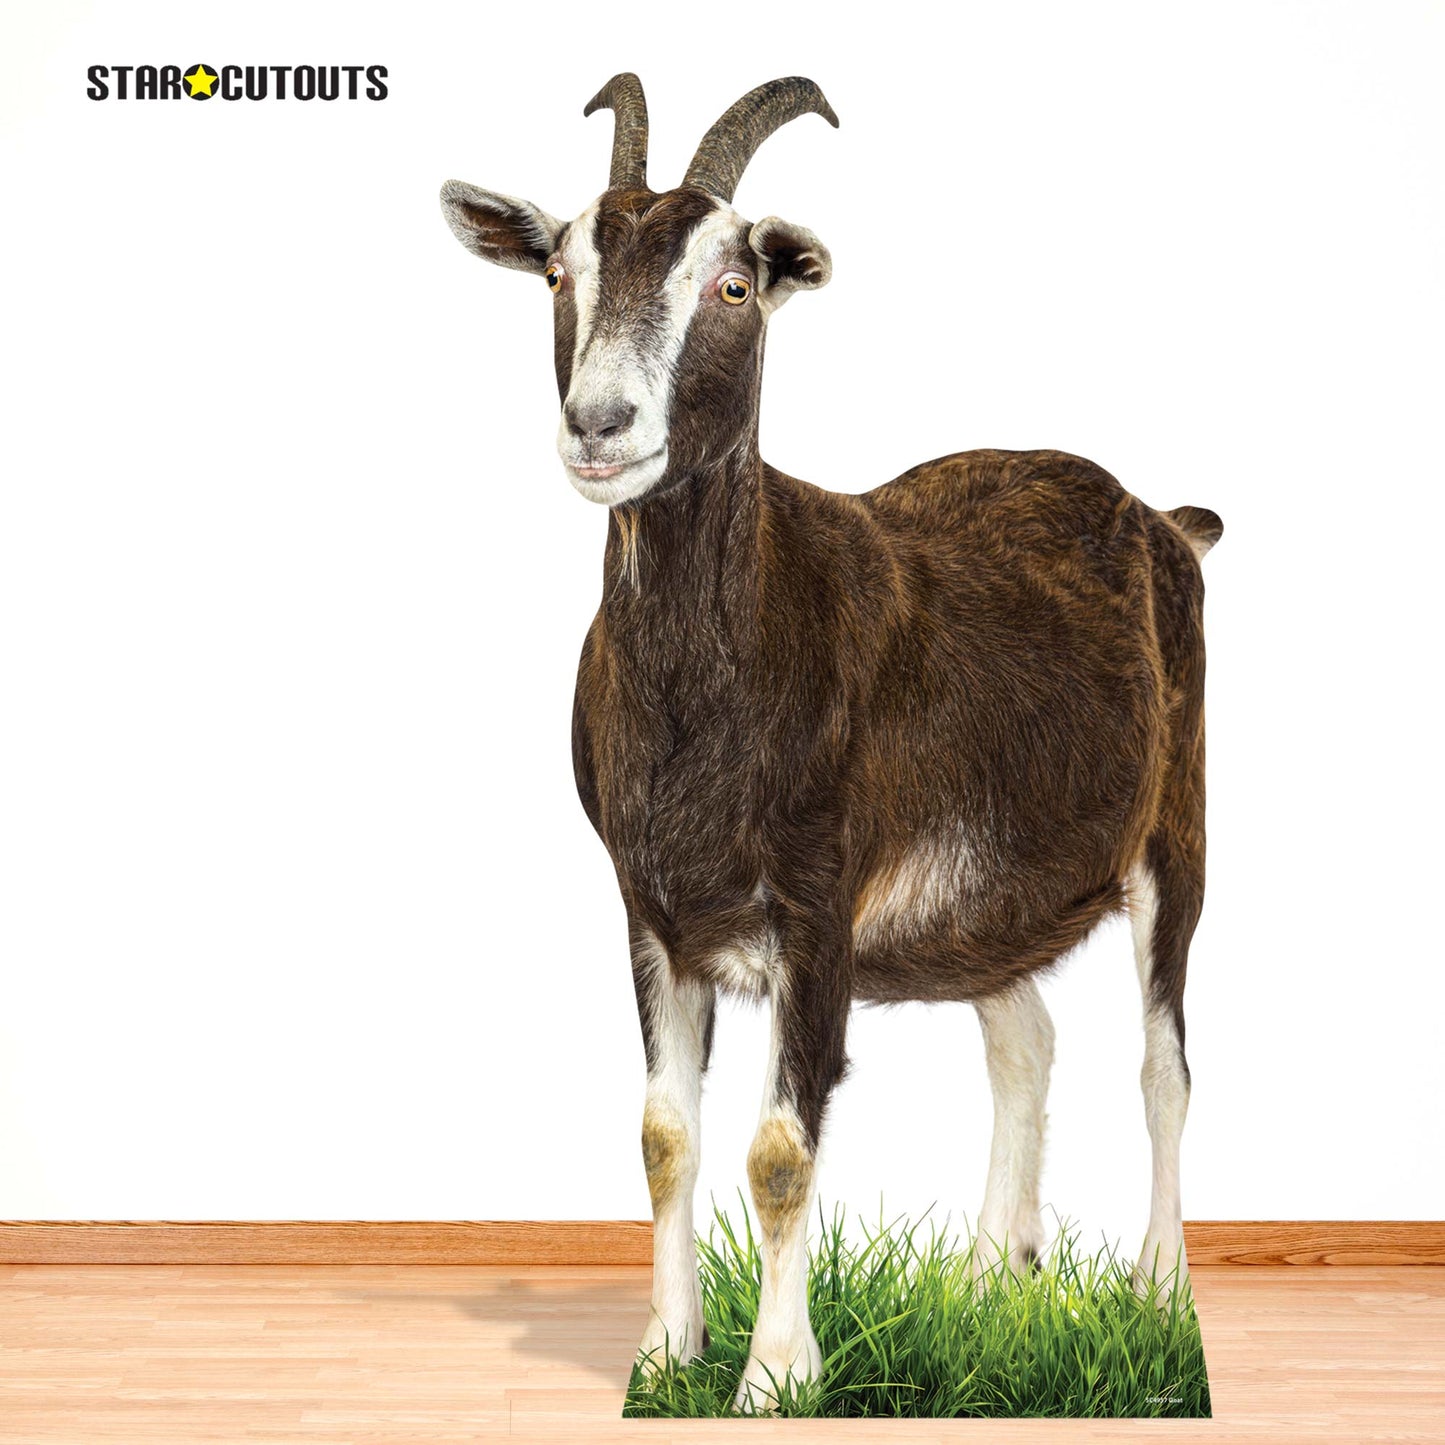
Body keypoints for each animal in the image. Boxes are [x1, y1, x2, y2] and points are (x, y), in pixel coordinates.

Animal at [440, 74, 1221, 1411]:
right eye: (555, 271)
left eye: (732, 282)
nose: (601, 425)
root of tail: (1163, 520)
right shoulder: (651, 908)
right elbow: (663, 1133)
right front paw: (666, 1354)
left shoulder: (817, 905)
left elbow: (778, 1149)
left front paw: (774, 1376)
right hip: (984, 901)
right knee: (1024, 1041)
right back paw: (987, 1290)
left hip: (1176, 825)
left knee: (1161, 1065)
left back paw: (1157, 1298)